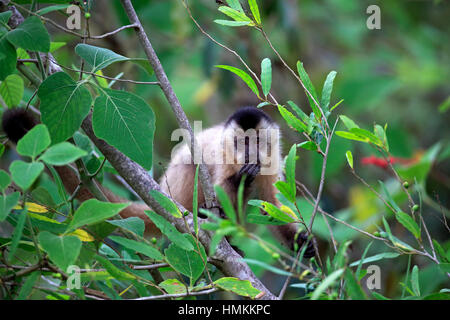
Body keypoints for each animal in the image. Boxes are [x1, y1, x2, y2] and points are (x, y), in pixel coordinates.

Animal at [1, 107, 314, 258]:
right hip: (177, 195)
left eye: (257, 141)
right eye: (241, 142)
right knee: (191, 168)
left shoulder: (272, 161)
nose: (249, 153)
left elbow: (269, 206)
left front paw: (300, 242)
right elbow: (220, 188)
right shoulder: (224, 154)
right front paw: (239, 179)